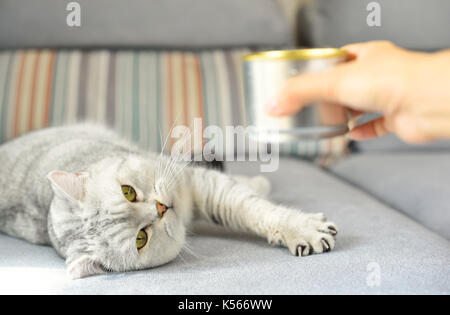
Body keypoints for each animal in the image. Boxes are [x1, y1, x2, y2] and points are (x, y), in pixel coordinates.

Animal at [0, 125, 338, 278]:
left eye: (128, 191)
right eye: (141, 238)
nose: (160, 209)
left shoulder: (193, 180)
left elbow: (250, 206)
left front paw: (299, 226)